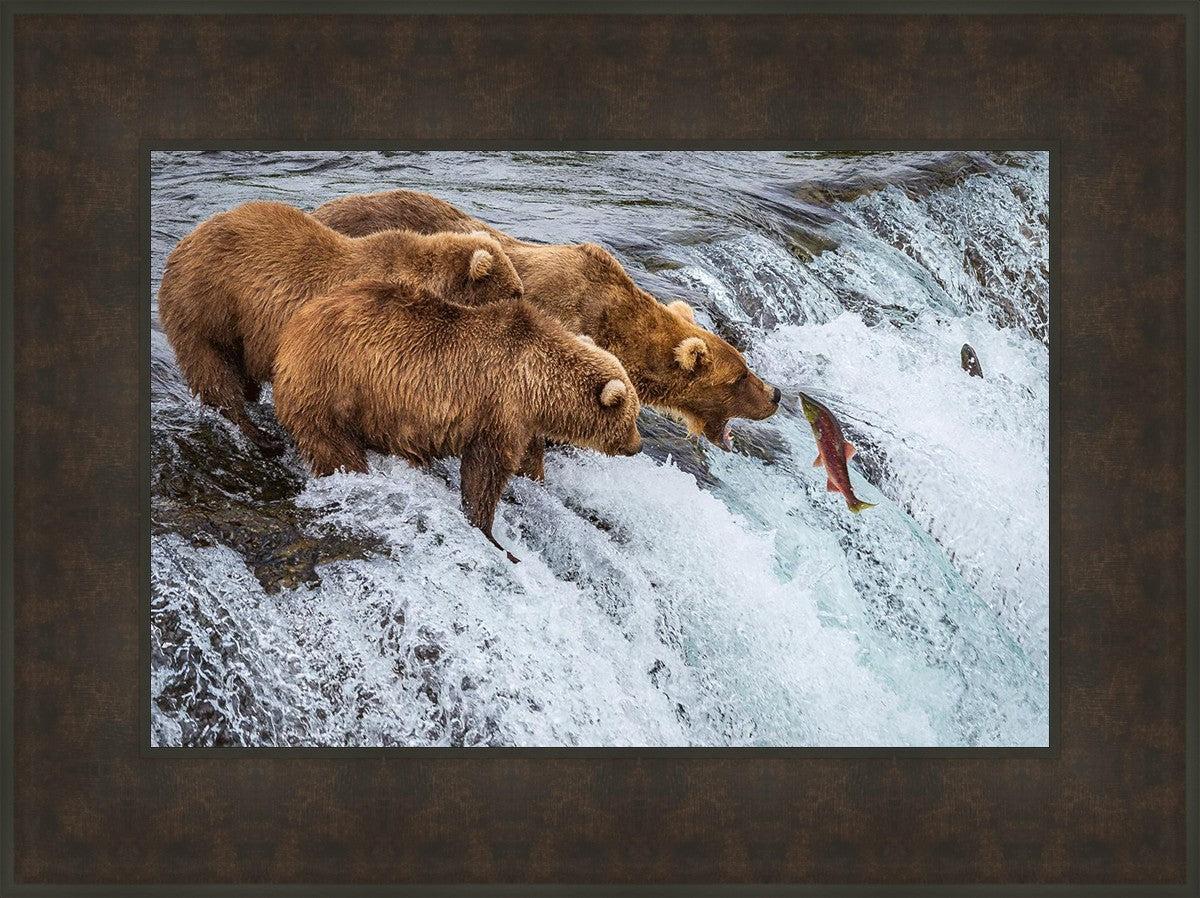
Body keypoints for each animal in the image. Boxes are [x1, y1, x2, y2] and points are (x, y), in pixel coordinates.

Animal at [157, 200, 524, 455]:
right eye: (514, 292)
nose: (525, 308)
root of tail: (183, 243)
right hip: (209, 306)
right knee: (213, 371)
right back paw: (261, 436)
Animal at [272, 278, 643, 562]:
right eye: (632, 417)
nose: (637, 446)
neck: (538, 384)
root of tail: (293, 329)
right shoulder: (499, 407)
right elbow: (485, 472)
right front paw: (492, 535)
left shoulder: (523, 421)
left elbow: (527, 460)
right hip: (333, 387)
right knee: (334, 447)